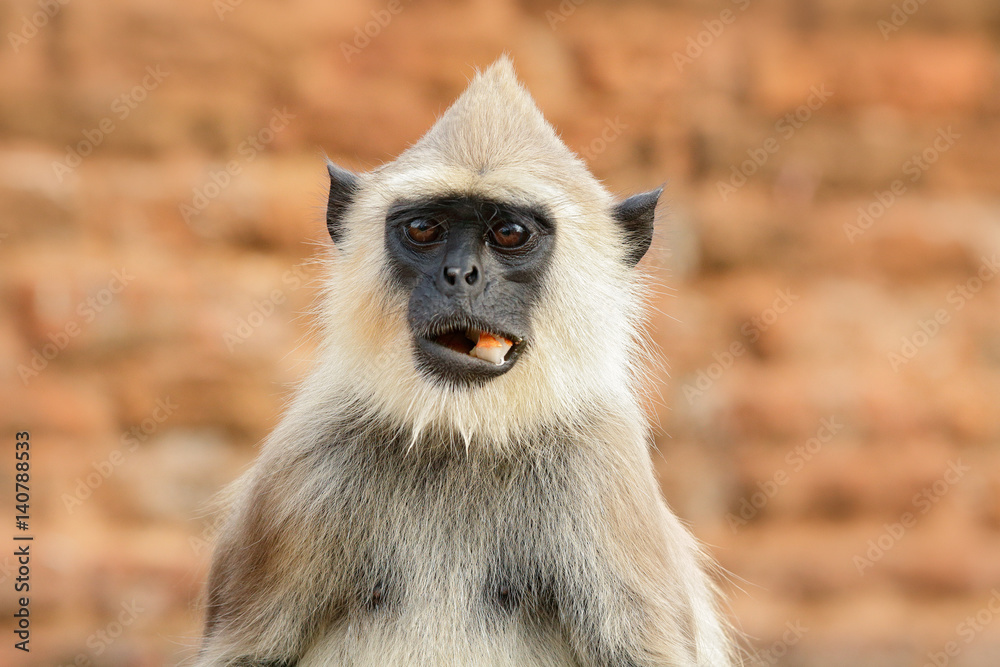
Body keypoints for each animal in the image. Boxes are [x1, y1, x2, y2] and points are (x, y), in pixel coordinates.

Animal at [197, 57, 738, 667]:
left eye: (510, 232)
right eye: (423, 229)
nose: (460, 275)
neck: (462, 434)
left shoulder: (604, 467)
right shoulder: (305, 460)